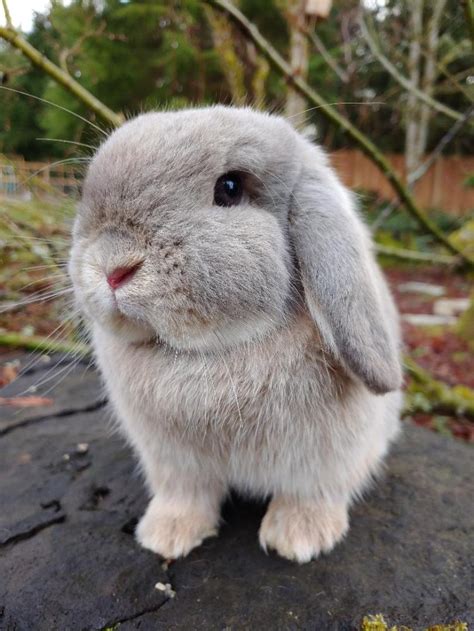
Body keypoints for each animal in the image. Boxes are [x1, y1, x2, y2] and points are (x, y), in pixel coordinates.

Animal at [68, 106, 402, 564]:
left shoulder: (328, 459)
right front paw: (166, 535)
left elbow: (310, 492)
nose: (112, 268)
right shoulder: (173, 464)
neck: (214, 351)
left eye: (229, 188)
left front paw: (298, 539)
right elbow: (185, 497)